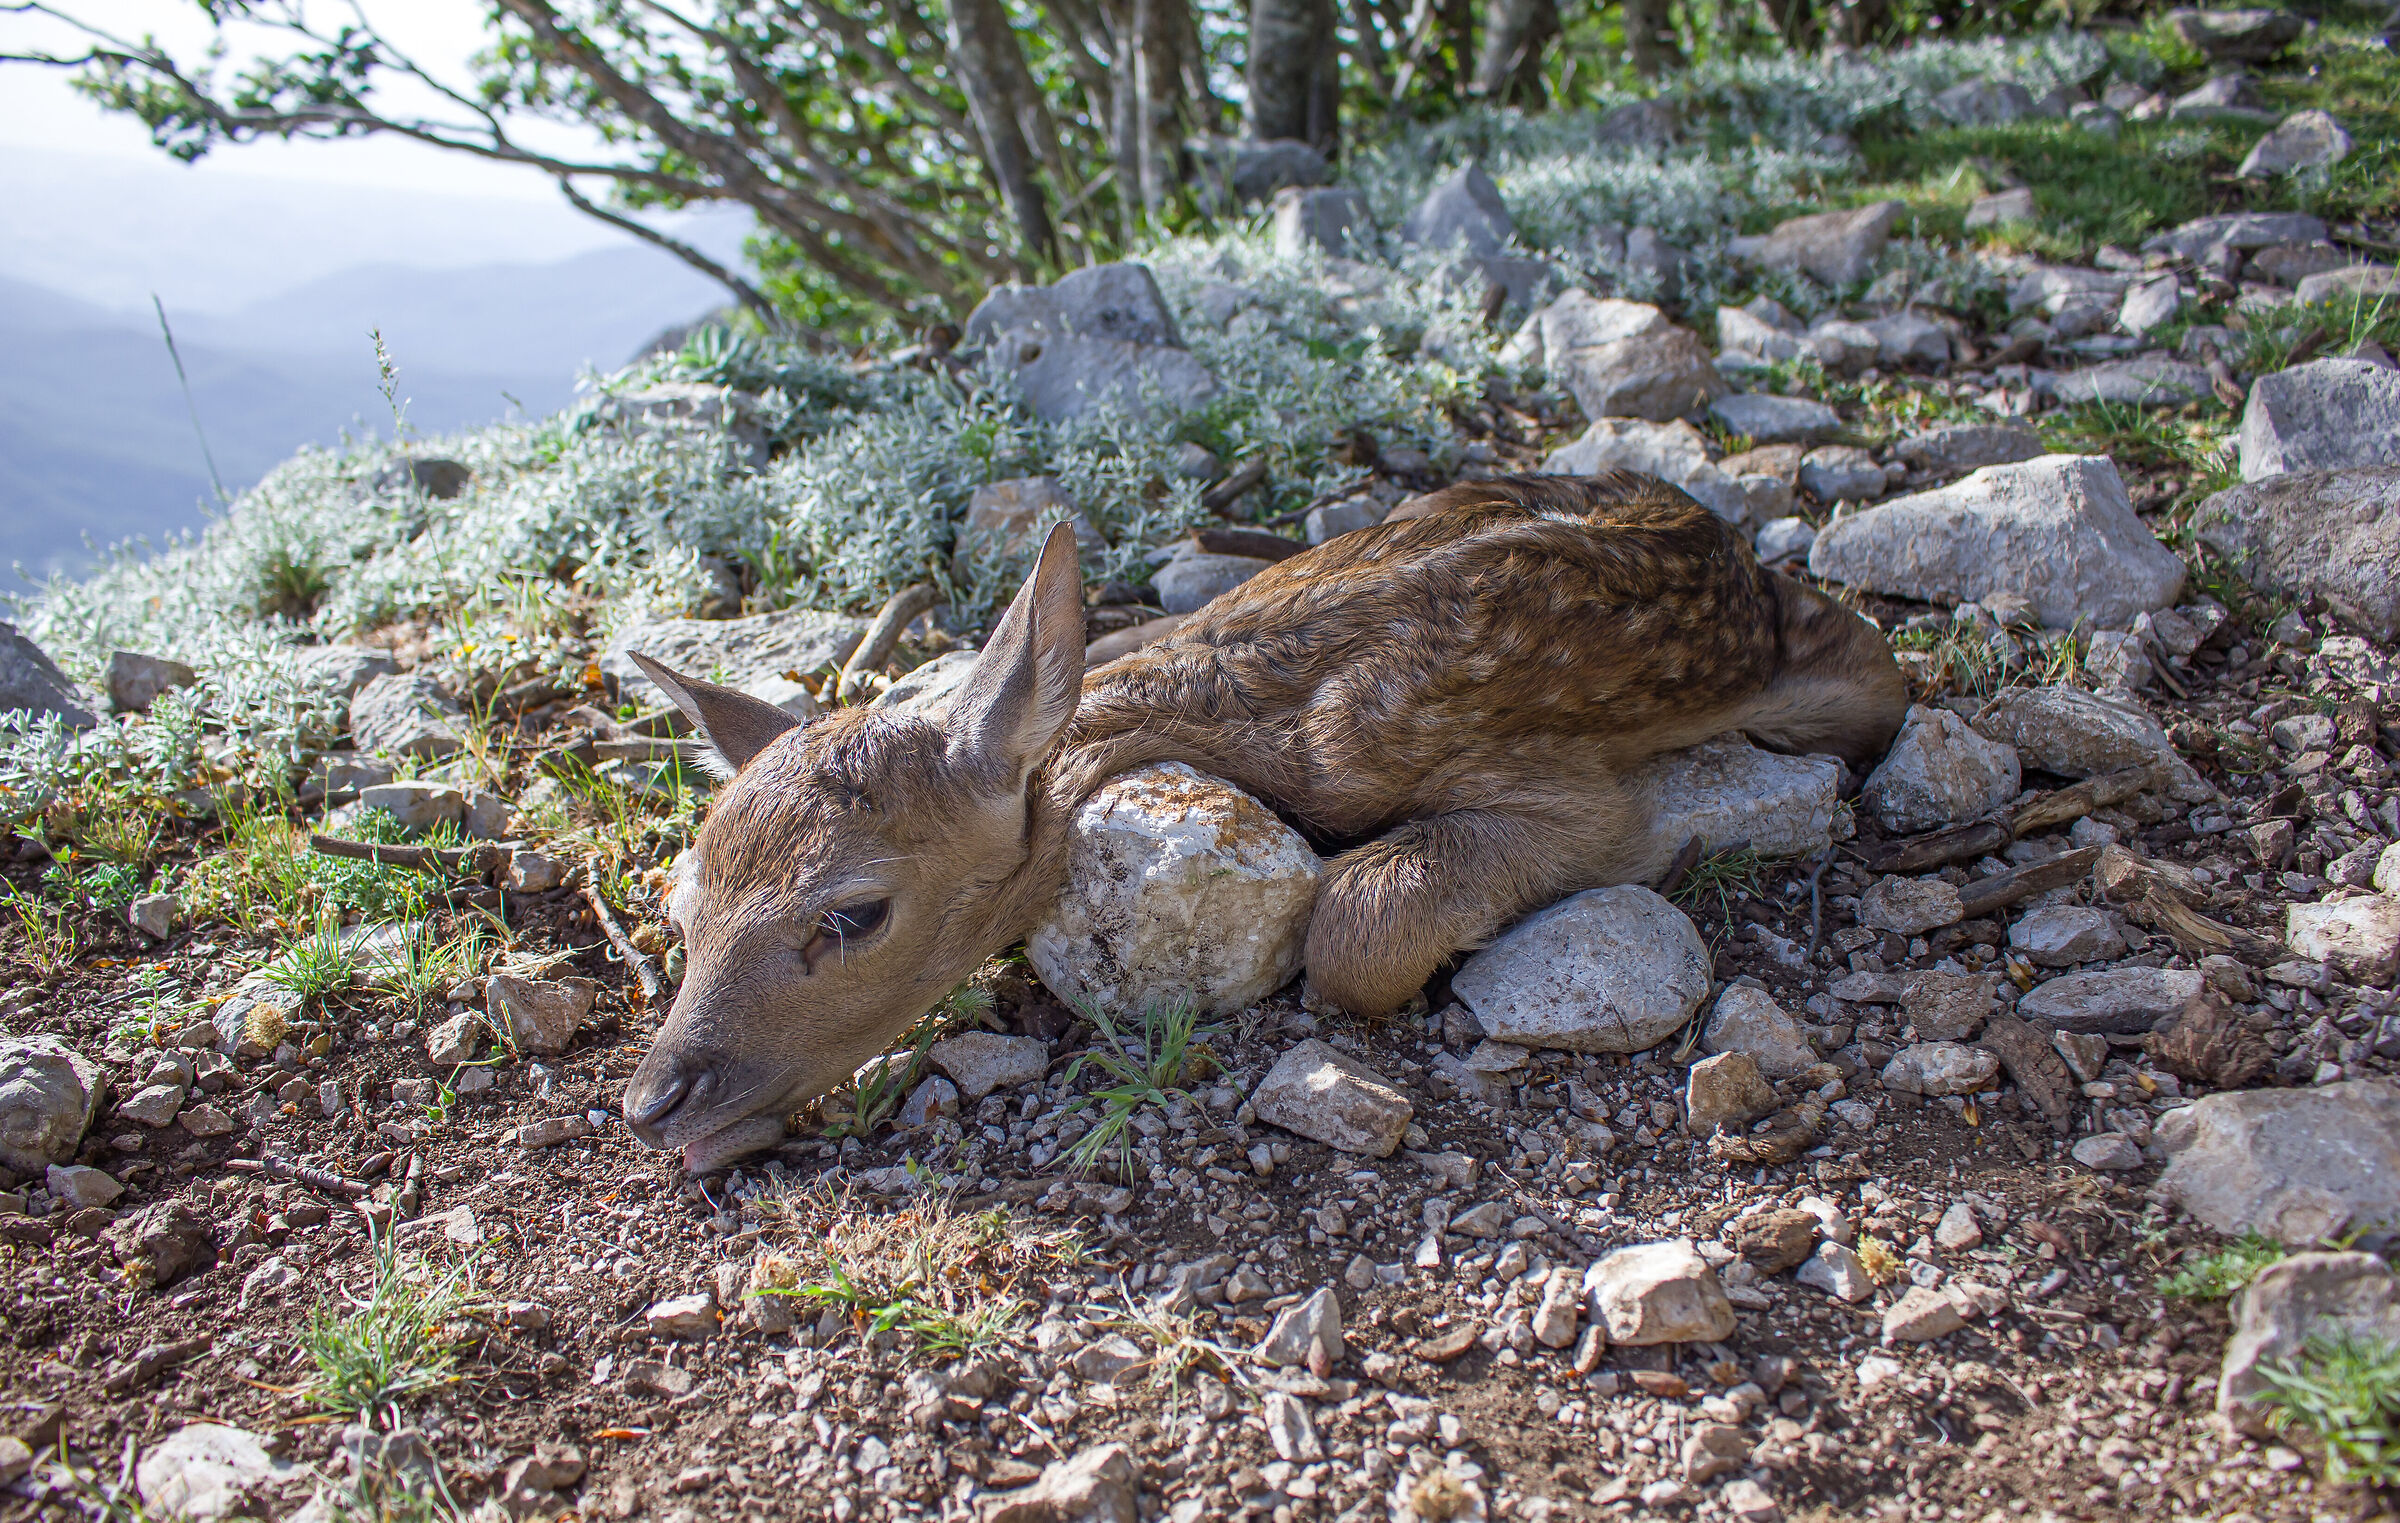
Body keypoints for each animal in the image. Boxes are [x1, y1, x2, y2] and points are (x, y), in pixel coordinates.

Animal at [622, 471, 1908, 1171]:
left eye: (856, 912)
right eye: (682, 903)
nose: (650, 1101)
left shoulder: (1573, 792)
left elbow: (1353, 927)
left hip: (1837, 681)